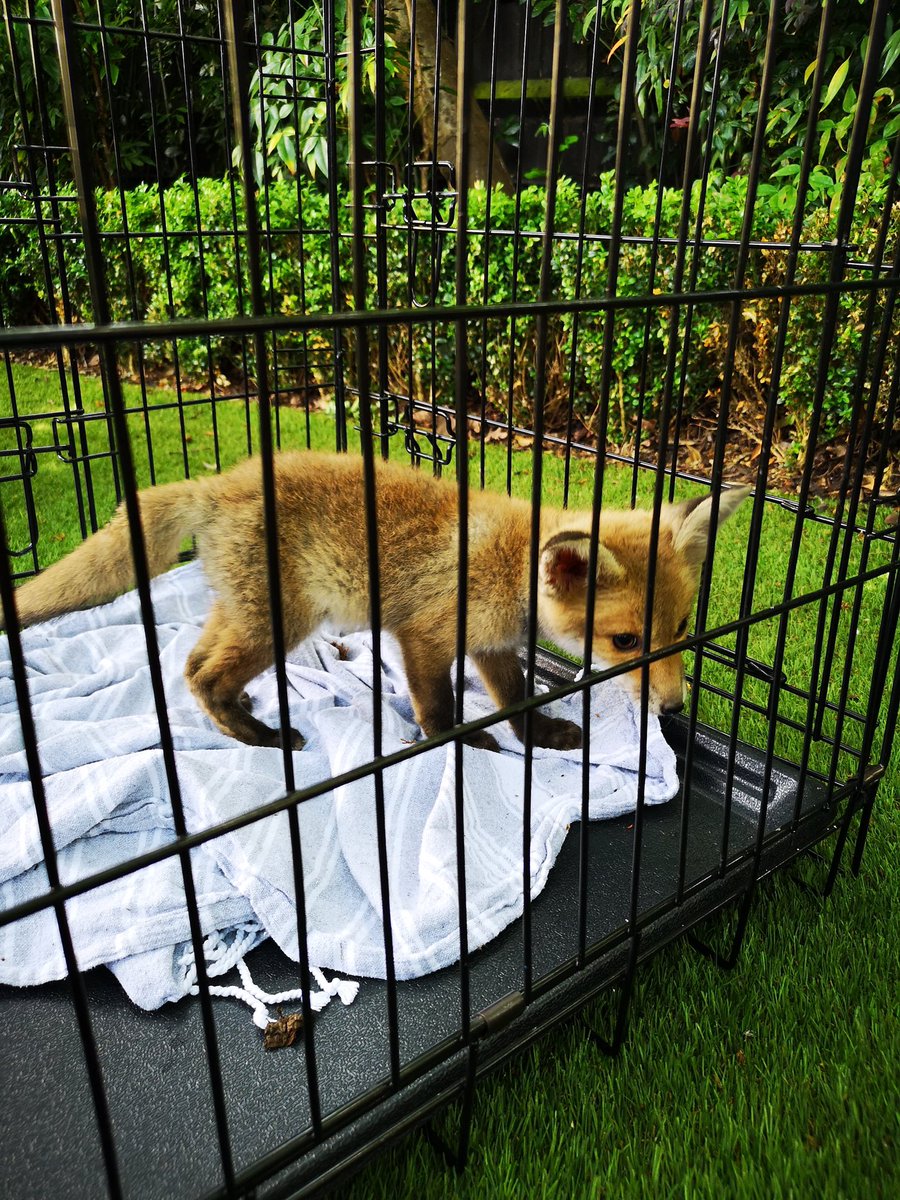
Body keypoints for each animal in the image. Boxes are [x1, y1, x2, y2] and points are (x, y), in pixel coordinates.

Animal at [4, 451, 749, 753]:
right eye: (625, 642)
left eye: (683, 626)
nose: (674, 708)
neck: (509, 567)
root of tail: (215, 484)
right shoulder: (423, 637)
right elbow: (437, 709)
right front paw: (460, 743)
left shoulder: (492, 646)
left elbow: (515, 699)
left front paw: (540, 735)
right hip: (279, 623)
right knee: (205, 677)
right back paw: (263, 737)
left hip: (246, 613)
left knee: (189, 667)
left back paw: (244, 715)